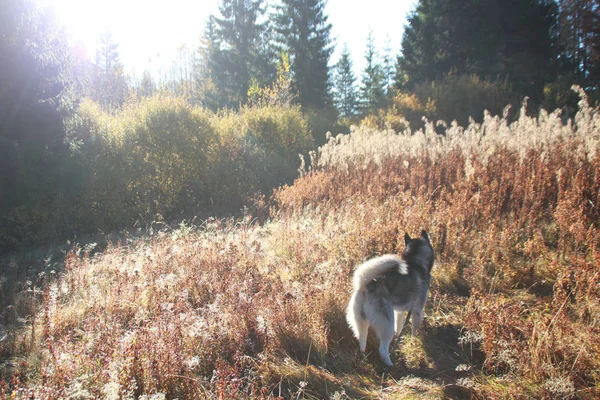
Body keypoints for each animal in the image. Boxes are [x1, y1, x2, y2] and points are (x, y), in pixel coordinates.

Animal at [344, 231, 434, 366]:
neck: (416, 262)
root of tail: (365, 285)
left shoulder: (399, 312)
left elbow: (399, 327)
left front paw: (399, 337)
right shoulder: (417, 311)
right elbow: (414, 331)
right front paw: (413, 342)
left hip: (362, 324)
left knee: (362, 342)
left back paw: (364, 356)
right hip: (387, 325)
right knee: (382, 349)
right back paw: (389, 364)